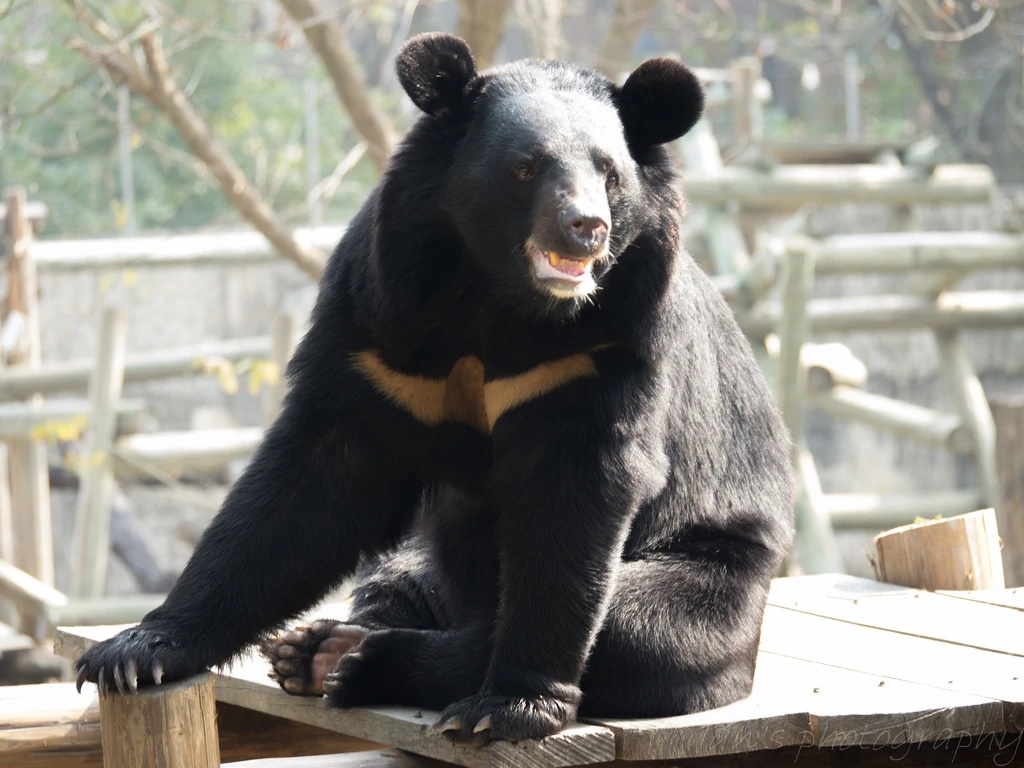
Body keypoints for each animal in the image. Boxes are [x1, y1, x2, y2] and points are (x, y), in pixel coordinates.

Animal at [75, 33, 794, 741]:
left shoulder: (603, 344)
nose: (586, 228)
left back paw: (360, 659)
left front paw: (510, 704)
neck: (497, 295)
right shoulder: (377, 326)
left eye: (610, 174)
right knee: (399, 577)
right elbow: (312, 481)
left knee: (635, 629)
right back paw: (317, 647)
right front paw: (133, 652)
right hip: (420, 554)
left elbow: (574, 498)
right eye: (527, 167)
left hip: (719, 566)